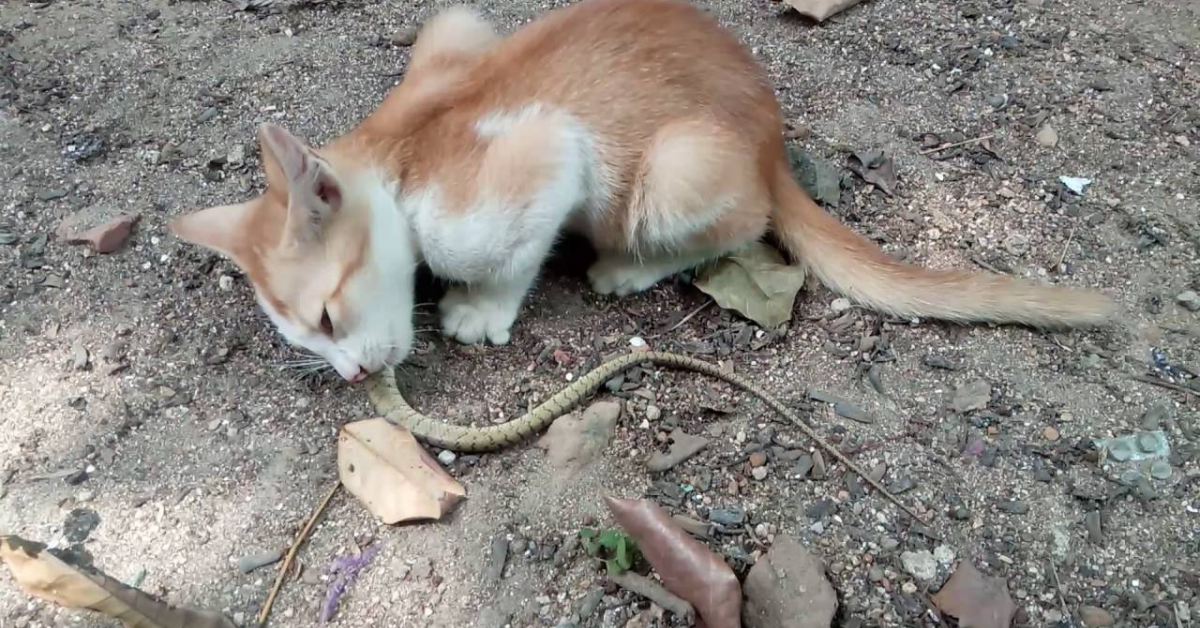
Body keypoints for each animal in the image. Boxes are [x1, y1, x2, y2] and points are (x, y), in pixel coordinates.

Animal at [166, 0, 1113, 384]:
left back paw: (626, 267)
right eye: (303, 340)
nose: (356, 374)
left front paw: (482, 309)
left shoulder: (550, 150)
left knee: (745, 222)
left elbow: (512, 252)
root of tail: (770, 140)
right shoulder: (457, 26)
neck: (399, 155)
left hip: (676, 170)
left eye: (327, 318)